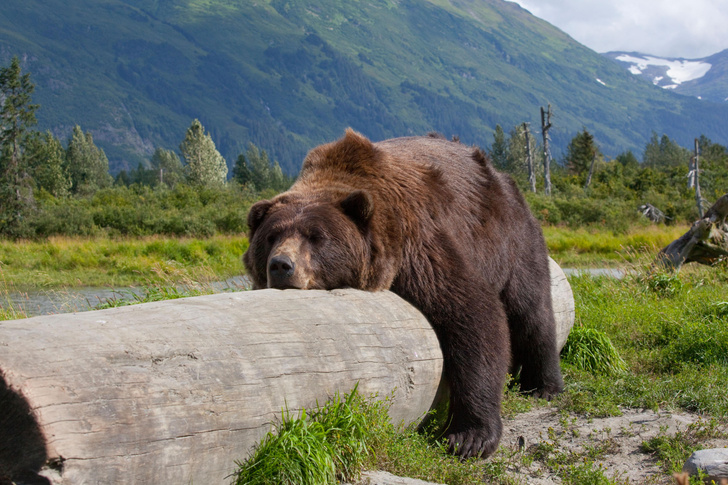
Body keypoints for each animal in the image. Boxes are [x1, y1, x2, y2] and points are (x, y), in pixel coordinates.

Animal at [243, 129, 564, 458]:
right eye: (271, 236)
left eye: (316, 236)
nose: (281, 265)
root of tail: (502, 178)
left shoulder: (421, 243)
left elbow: (472, 314)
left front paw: (469, 437)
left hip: (511, 237)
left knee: (530, 308)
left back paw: (543, 385)